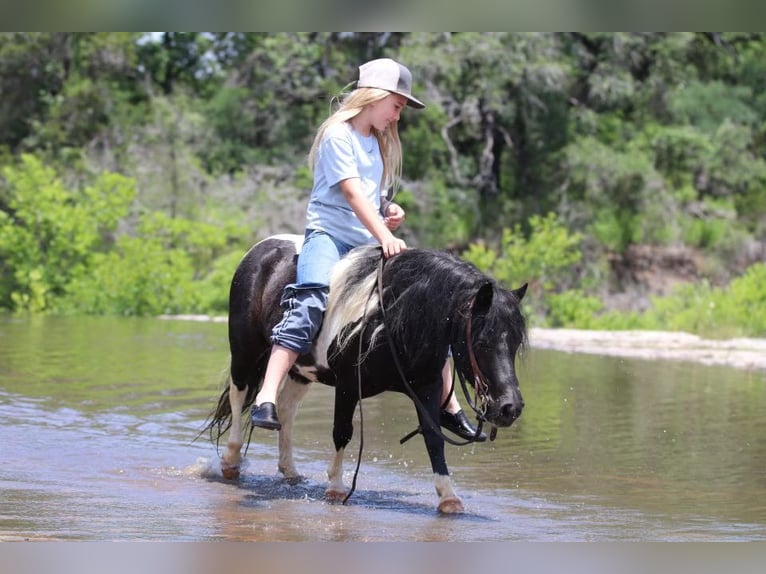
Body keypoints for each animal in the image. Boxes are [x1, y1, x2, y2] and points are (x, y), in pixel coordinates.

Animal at [204, 236, 528, 516]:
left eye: (514, 343)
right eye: (482, 341)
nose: (509, 408)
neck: (390, 320)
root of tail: (261, 250)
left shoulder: (427, 387)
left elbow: (434, 438)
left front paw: (449, 497)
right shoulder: (347, 386)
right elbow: (342, 432)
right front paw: (336, 488)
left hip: (302, 372)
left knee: (286, 410)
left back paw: (291, 472)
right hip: (245, 351)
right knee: (239, 395)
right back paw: (231, 461)